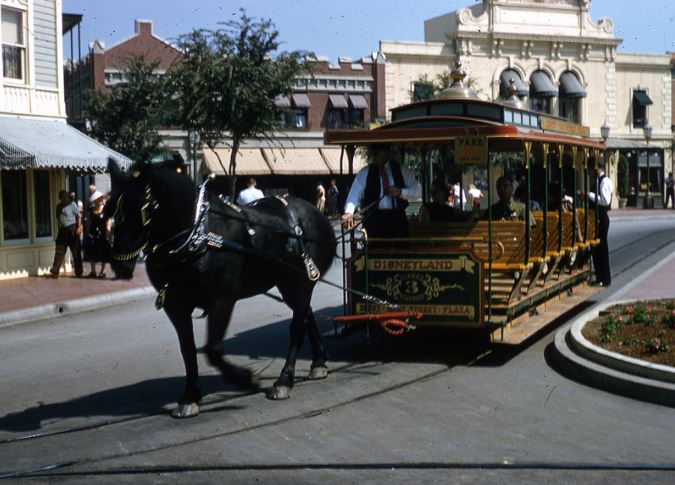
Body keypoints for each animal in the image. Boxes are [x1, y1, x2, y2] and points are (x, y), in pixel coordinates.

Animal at [105, 158, 336, 416]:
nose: (120, 265)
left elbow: (213, 349)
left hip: (300, 282)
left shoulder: (222, 301)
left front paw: (245, 378)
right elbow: (188, 349)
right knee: (305, 314)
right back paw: (318, 362)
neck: (198, 237)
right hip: (289, 284)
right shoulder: (176, 306)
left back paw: (284, 381)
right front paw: (190, 396)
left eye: (142, 210)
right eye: (111, 211)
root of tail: (318, 214)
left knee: (297, 326)